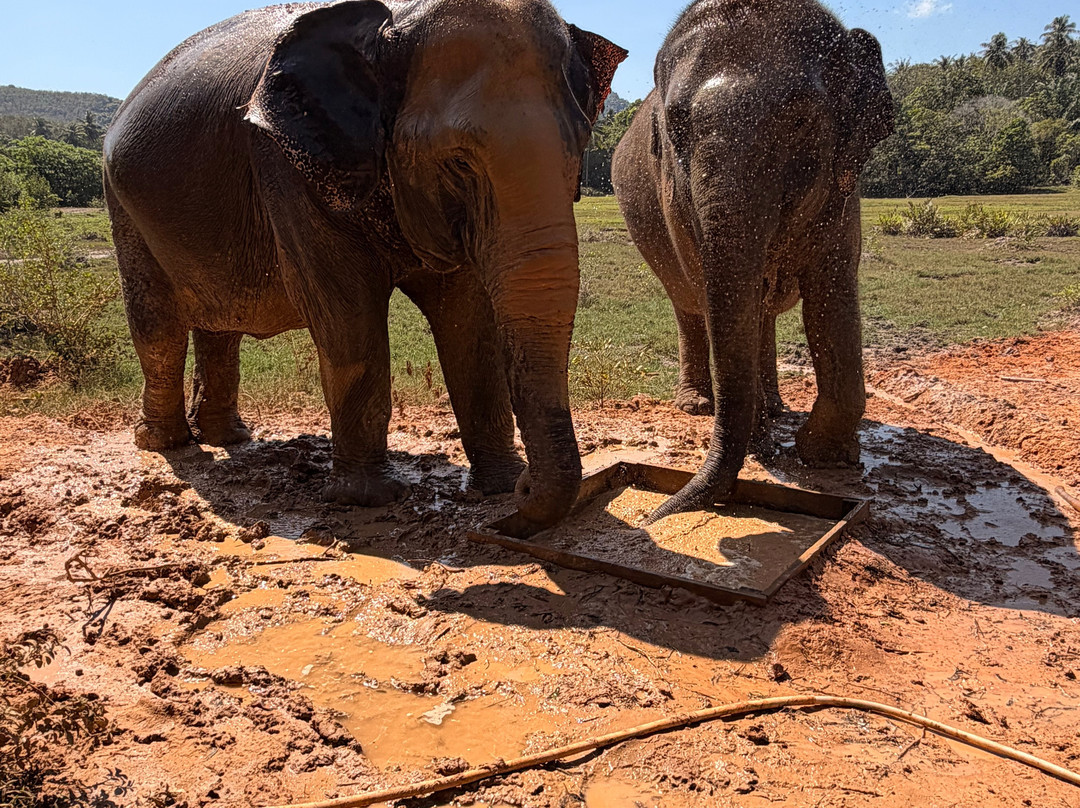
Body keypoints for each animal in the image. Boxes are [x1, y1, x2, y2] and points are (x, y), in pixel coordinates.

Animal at [103, 0, 626, 531]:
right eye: (459, 162)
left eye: (579, 152)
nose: (518, 500)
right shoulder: (286, 166)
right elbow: (348, 316)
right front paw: (367, 500)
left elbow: (469, 321)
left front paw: (496, 485)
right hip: (123, 207)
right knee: (157, 327)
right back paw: (166, 443)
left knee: (220, 323)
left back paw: (229, 438)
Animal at [611, 0, 894, 521]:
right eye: (675, 131)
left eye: (801, 121)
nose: (652, 515)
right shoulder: (674, 197)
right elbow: (719, 292)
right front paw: (768, 444)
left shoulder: (844, 193)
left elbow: (831, 297)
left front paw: (824, 458)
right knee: (690, 304)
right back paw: (702, 407)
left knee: (758, 314)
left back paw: (776, 410)